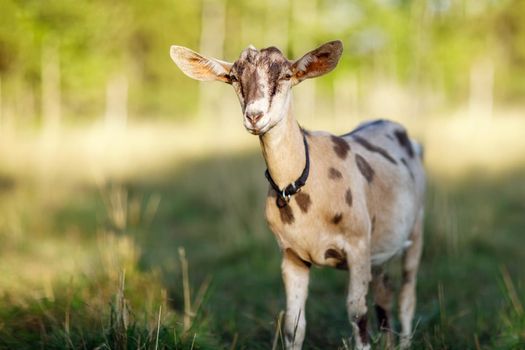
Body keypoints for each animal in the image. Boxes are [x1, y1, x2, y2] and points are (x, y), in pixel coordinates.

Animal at [170, 40, 424, 350]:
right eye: (234, 77)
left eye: (286, 75)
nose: (254, 116)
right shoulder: (291, 255)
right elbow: (294, 323)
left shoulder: (357, 247)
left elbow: (358, 315)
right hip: (380, 249)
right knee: (384, 293)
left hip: (415, 228)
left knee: (407, 295)